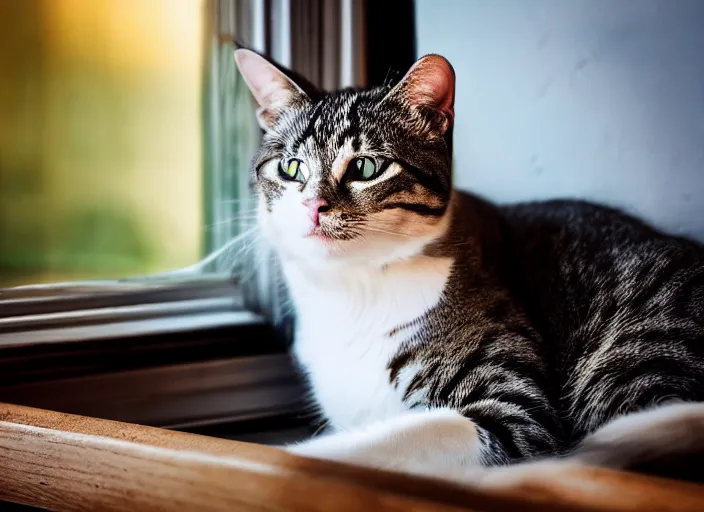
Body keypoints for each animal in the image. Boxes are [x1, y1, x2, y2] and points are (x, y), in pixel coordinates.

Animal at [235, 49, 704, 484]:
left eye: (367, 167)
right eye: (290, 167)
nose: (314, 206)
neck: (352, 291)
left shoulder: (519, 410)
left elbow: (401, 436)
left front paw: (295, 460)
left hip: (641, 350)